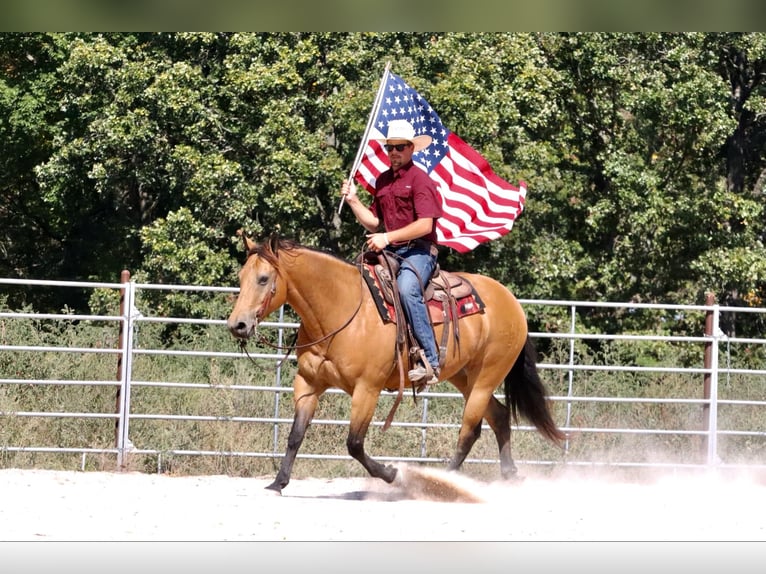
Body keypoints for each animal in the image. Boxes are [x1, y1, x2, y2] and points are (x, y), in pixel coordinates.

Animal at [228, 234, 564, 496]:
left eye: (263, 279)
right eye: (241, 278)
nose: (237, 325)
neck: (341, 309)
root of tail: (511, 300)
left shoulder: (368, 388)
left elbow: (354, 443)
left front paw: (391, 474)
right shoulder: (309, 383)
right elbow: (295, 434)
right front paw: (278, 482)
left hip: (486, 377)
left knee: (470, 431)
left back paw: (442, 480)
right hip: (464, 377)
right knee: (499, 416)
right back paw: (509, 474)